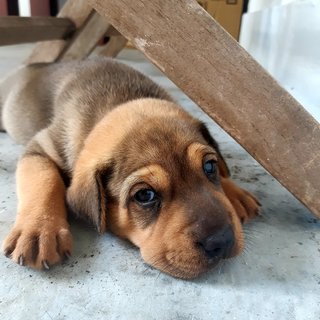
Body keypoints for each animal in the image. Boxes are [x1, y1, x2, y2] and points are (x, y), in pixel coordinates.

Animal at [0, 57, 260, 278]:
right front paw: (38, 229)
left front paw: (235, 193)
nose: (222, 241)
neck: (119, 99)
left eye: (209, 166)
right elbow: (44, 179)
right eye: (145, 195)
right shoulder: (41, 148)